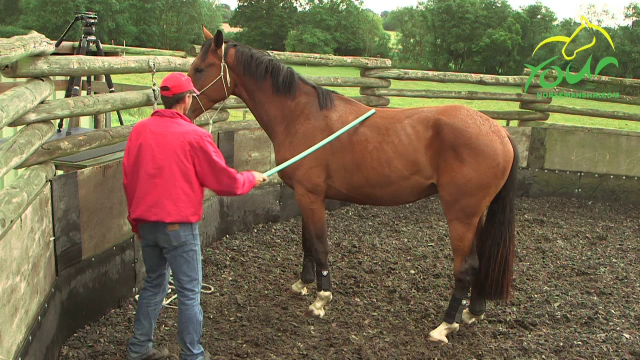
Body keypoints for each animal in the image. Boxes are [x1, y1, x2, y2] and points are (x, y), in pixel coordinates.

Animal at [188, 28, 516, 344]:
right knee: (482, 260)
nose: (180, 105)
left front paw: (321, 299)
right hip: (475, 215)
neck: (302, 114)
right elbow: (307, 241)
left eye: (200, 69)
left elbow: (320, 244)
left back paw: (445, 326)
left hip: (460, 215)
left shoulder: (310, 195)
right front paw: (303, 283)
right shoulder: (305, 195)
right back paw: (472, 312)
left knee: (466, 267)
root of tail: (498, 131)